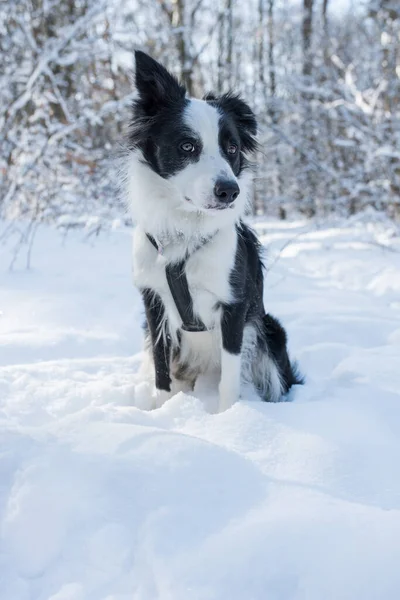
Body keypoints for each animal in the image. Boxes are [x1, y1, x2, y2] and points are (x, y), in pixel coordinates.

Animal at [125, 51, 300, 412]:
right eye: (187, 146)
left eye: (231, 149)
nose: (229, 191)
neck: (186, 229)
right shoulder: (153, 303)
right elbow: (161, 369)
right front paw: (162, 410)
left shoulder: (234, 306)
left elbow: (230, 379)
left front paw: (228, 418)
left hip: (271, 331)